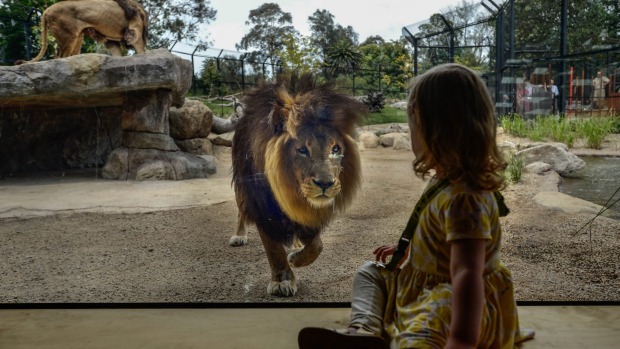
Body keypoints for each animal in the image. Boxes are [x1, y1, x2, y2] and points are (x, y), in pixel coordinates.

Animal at [232, 73, 368, 296]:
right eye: (302, 150)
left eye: (336, 149)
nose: (325, 183)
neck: (288, 189)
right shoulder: (262, 206)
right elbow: (274, 249)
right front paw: (282, 281)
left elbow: (317, 246)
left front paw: (296, 258)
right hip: (242, 190)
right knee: (241, 212)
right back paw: (238, 236)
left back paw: (295, 245)